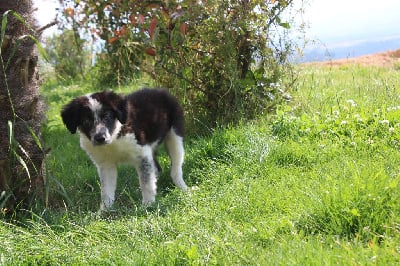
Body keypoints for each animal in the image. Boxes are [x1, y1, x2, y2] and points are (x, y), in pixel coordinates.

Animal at [60, 89, 188, 210]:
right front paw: (105, 211)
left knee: (176, 167)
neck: (115, 138)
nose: (100, 138)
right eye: (86, 121)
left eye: (107, 117)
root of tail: (161, 91)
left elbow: (146, 183)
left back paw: (183, 188)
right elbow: (106, 190)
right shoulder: (106, 165)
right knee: (156, 168)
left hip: (175, 136)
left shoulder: (142, 155)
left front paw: (147, 205)